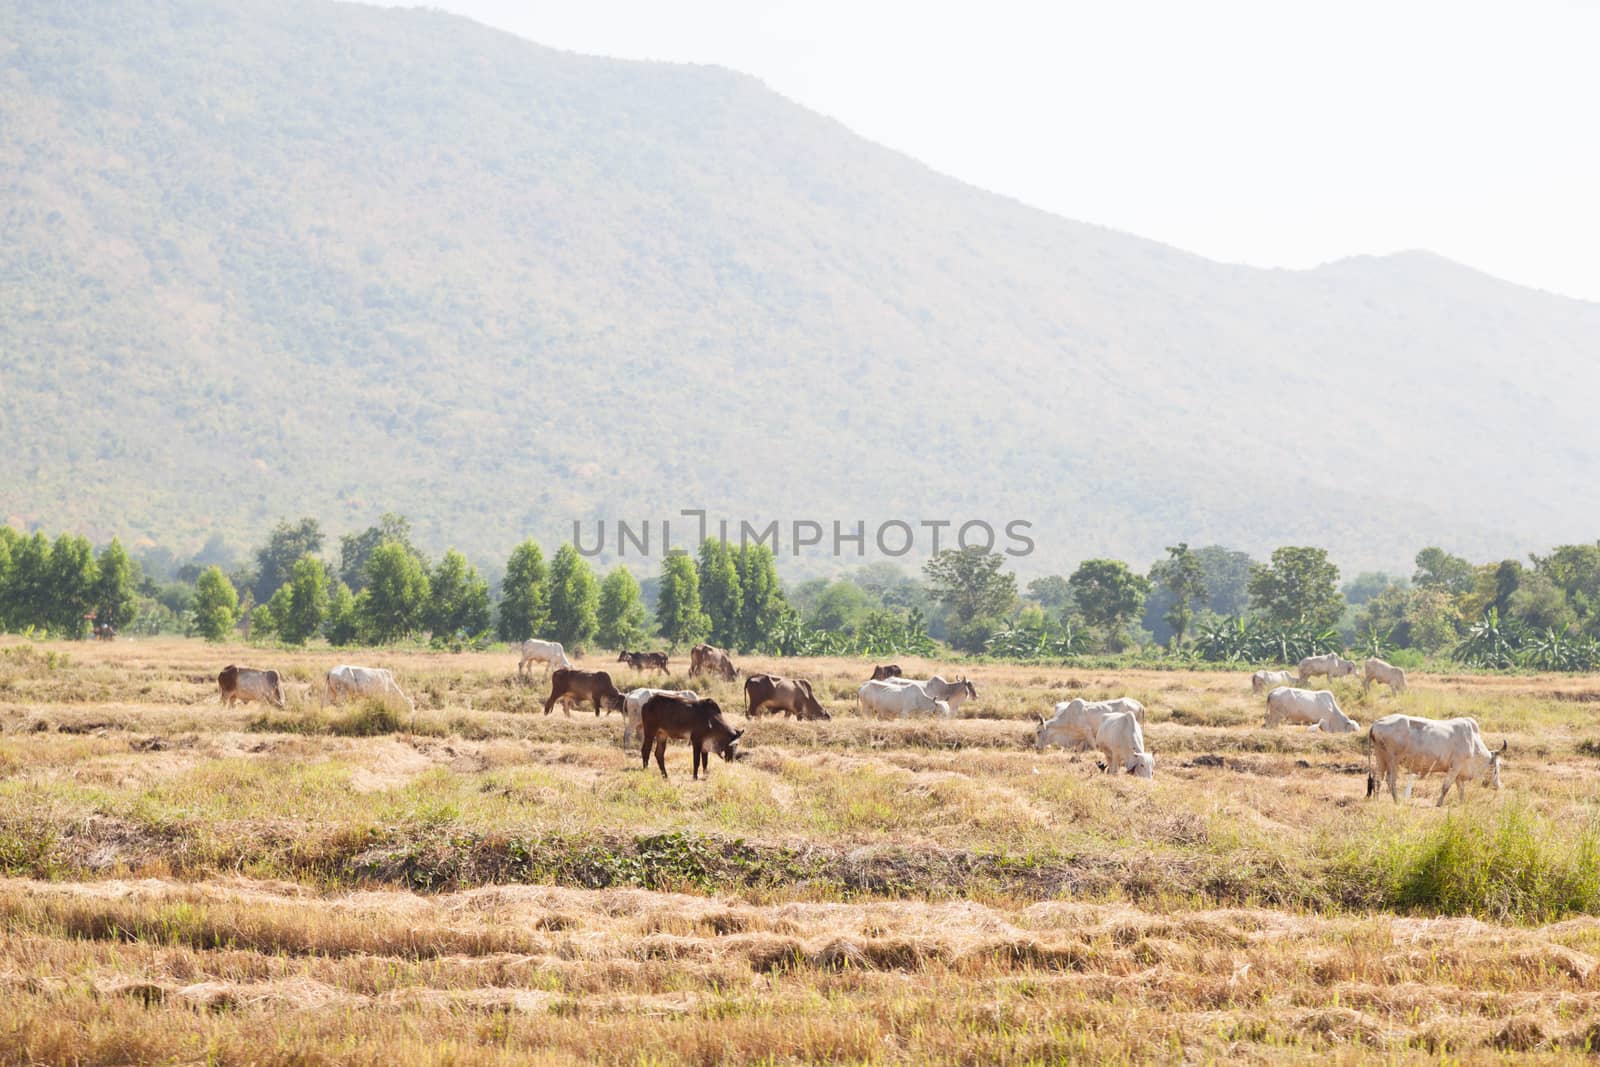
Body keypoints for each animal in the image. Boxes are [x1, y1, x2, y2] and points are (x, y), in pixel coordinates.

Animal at [1369, 713, 1504, 806]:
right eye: (1496, 769)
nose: (1498, 786)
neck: (1473, 742)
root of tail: (1377, 723)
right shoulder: (1455, 767)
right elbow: (1446, 787)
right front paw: (1439, 804)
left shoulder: (1458, 773)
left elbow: (1461, 789)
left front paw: (1461, 803)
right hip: (1393, 760)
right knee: (1390, 780)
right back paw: (1396, 801)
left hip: (1380, 757)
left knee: (1378, 778)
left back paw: (1377, 800)